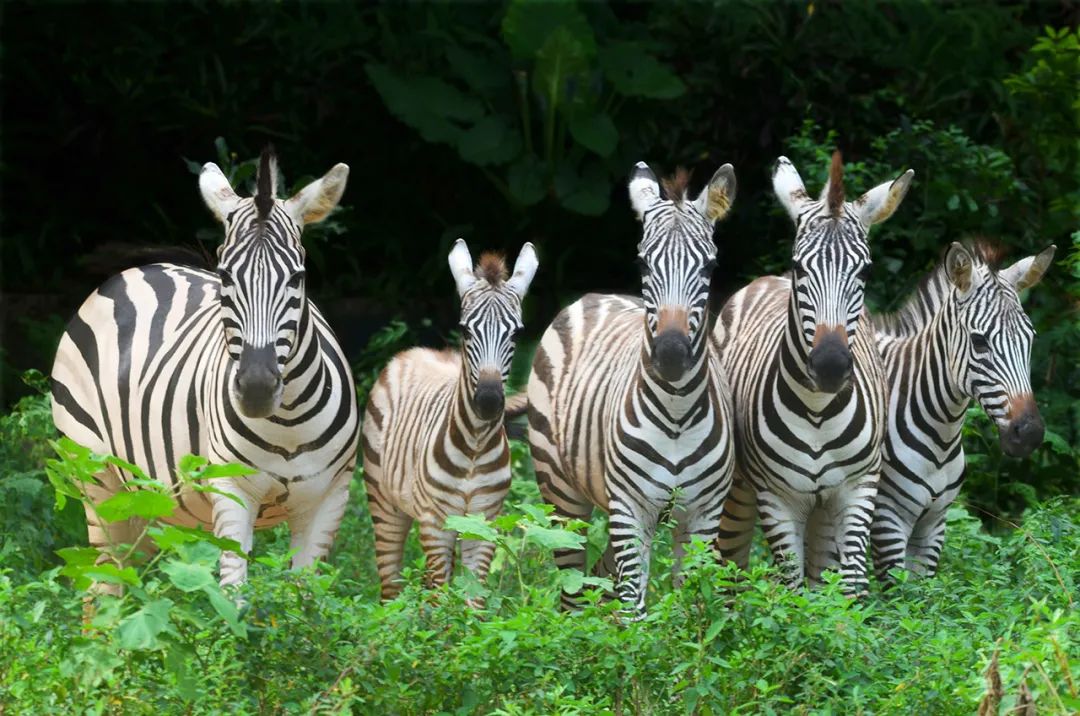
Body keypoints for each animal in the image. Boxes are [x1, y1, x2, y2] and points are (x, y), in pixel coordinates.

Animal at [50, 147, 360, 591]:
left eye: (298, 278)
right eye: (225, 276)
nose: (256, 389)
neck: (288, 423)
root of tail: (137, 271)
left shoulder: (329, 499)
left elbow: (308, 600)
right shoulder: (231, 491)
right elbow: (233, 596)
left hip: (147, 500)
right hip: (95, 478)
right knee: (103, 584)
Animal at [360, 239, 537, 600]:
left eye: (516, 334)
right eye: (465, 330)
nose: (488, 402)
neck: (475, 445)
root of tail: (413, 352)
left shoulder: (485, 522)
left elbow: (471, 601)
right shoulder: (434, 521)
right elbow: (444, 601)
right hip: (384, 504)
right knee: (392, 588)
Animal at [527, 160, 738, 617]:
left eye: (710, 268)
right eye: (643, 265)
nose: (671, 355)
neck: (677, 413)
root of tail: (593, 296)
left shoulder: (703, 511)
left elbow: (689, 605)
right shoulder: (629, 506)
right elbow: (635, 612)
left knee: (599, 575)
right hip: (560, 493)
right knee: (573, 585)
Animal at [712, 154, 915, 596]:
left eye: (865, 272)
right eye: (798, 267)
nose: (830, 366)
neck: (818, 411)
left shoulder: (859, 488)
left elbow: (850, 589)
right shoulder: (777, 498)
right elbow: (791, 591)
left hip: (823, 509)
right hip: (739, 490)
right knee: (728, 564)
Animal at [868, 239, 1054, 583]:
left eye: (1030, 339)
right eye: (980, 342)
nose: (1030, 434)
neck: (941, 434)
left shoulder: (934, 524)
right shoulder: (888, 520)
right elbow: (898, 596)